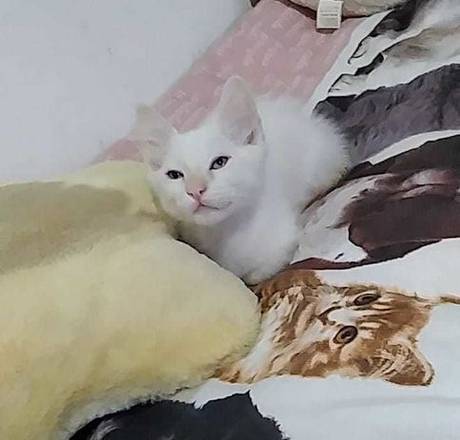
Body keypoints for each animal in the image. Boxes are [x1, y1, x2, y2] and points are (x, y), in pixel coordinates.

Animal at [135, 77, 349, 284]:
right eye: (174, 175)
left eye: (219, 162)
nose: (195, 190)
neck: (226, 234)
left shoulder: (283, 241)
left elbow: (260, 272)